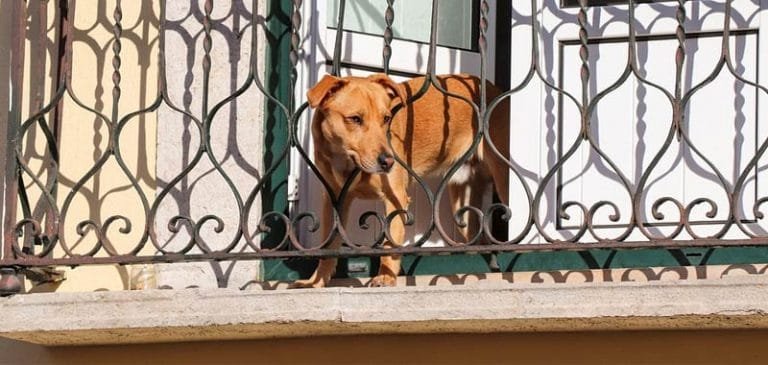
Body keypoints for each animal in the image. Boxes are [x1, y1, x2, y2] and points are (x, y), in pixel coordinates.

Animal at [290, 73, 510, 288]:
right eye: (354, 119)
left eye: (386, 118)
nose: (388, 161)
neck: (346, 161)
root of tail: (492, 88)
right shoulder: (334, 200)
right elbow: (328, 246)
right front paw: (316, 282)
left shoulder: (395, 198)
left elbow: (390, 242)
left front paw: (386, 277)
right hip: (462, 204)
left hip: (503, 180)